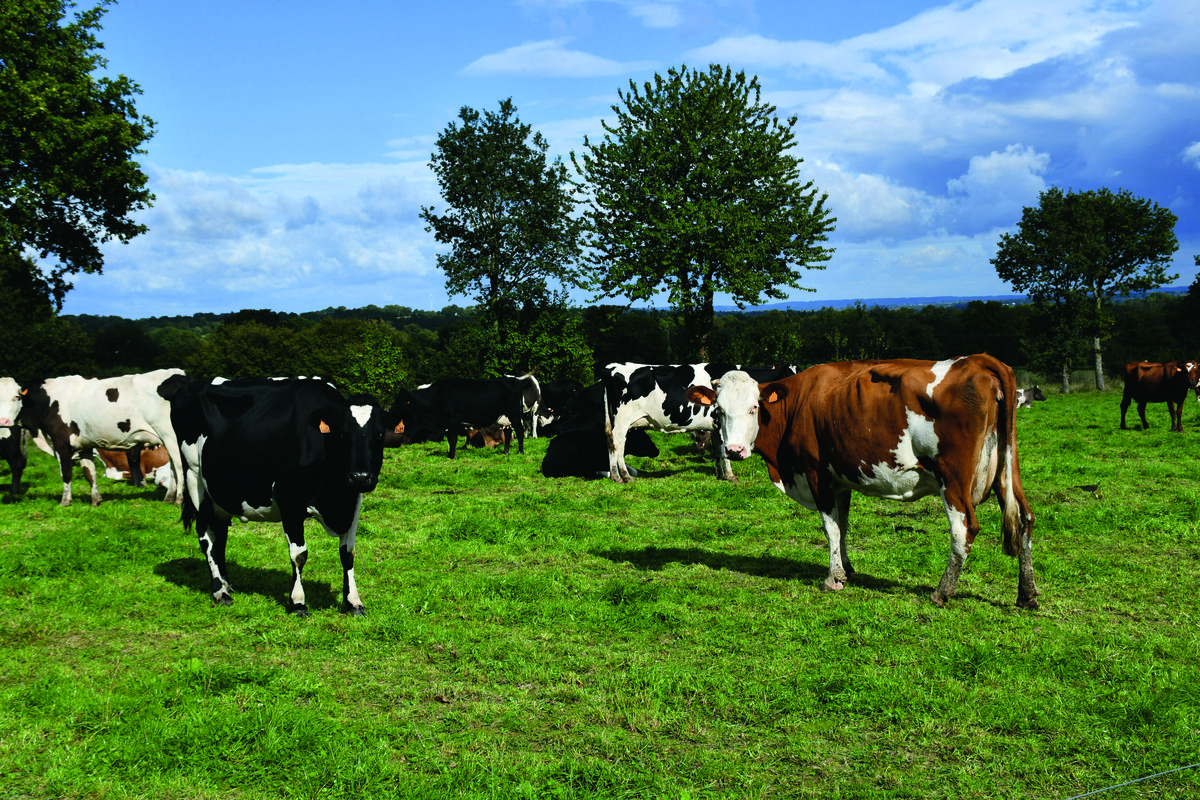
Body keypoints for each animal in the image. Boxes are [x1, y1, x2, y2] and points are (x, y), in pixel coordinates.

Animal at [17, 369, 189, 506]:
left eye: (16, 397)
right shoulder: (84, 445)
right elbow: (89, 472)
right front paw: (95, 500)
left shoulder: (61, 443)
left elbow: (66, 474)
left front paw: (65, 502)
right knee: (173, 467)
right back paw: (168, 498)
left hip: (171, 437)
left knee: (180, 467)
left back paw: (179, 500)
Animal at [171, 377, 398, 616]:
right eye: (342, 434)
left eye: (380, 434)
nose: (361, 477)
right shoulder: (289, 500)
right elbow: (299, 554)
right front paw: (298, 603)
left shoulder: (352, 502)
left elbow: (348, 553)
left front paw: (353, 602)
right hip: (195, 478)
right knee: (206, 536)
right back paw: (219, 592)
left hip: (220, 495)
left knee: (219, 535)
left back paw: (226, 584)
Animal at [391, 374, 540, 459]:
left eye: (399, 402)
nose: (390, 411)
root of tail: (513, 380)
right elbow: (451, 440)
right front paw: (450, 455)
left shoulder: (453, 422)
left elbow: (452, 440)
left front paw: (452, 456)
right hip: (505, 418)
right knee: (508, 433)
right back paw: (505, 452)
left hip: (514, 414)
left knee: (519, 431)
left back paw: (520, 452)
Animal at [686, 356, 1039, 609]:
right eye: (718, 410)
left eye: (754, 407)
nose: (734, 450)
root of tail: (978, 360)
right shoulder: (838, 479)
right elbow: (842, 525)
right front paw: (847, 567)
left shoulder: (816, 474)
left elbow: (830, 527)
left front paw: (833, 578)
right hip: (1008, 469)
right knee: (1024, 518)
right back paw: (1027, 594)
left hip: (952, 478)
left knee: (964, 529)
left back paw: (942, 592)